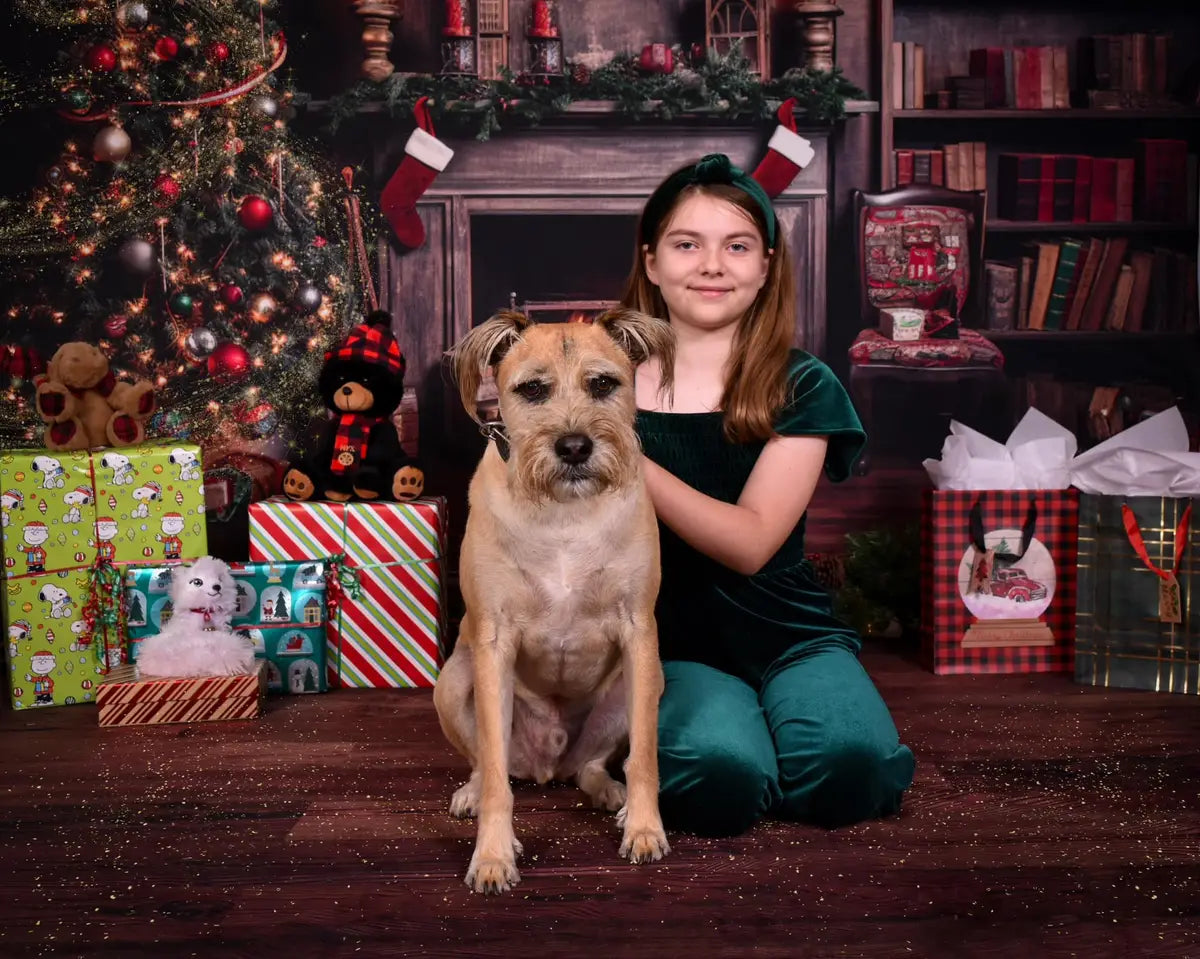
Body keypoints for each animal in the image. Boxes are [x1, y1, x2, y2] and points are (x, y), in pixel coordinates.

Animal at [439, 312, 676, 897]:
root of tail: (547, 764)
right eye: (532, 390)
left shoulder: (640, 634)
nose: (574, 446)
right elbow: (495, 778)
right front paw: (493, 855)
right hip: (453, 682)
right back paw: (472, 791)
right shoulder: (494, 639)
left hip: (644, 684)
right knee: (486, 762)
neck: (565, 511)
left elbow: (645, 758)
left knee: (594, 764)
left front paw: (644, 829)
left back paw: (608, 791)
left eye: (604, 384)